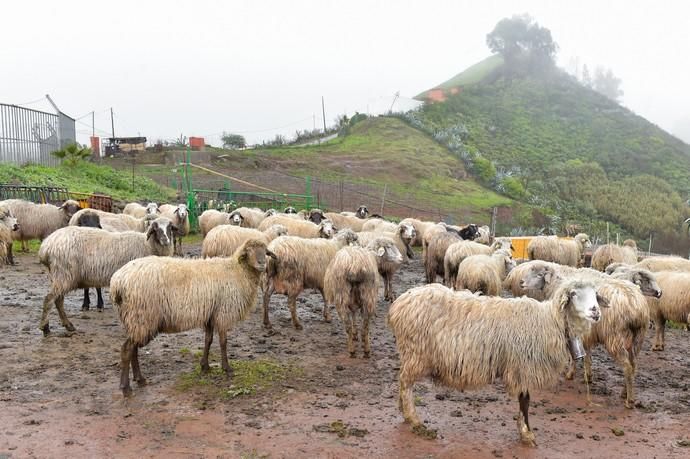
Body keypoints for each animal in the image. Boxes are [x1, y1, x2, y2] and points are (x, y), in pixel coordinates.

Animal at [37, 217, 175, 336]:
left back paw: (68, 325)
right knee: (49, 299)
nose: (165, 240)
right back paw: (45, 328)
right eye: (155, 228)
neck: (147, 245)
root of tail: (46, 246)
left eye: (170, 227)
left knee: (58, 301)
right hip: (64, 275)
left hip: (58, 276)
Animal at [110, 239, 274, 398]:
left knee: (133, 349)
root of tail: (117, 282)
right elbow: (223, 342)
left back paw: (140, 379)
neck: (238, 271)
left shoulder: (210, 314)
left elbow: (208, 340)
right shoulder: (223, 313)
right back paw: (126, 388)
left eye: (264, 251)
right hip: (142, 317)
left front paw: (205, 366)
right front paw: (226, 368)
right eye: (249, 250)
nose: (262, 263)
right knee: (127, 349)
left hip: (136, 320)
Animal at [390, 280, 604, 446]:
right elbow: (525, 400)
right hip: (415, 353)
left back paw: (403, 411)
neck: (550, 321)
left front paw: (524, 430)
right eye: (574, 294)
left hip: (411, 354)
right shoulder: (522, 365)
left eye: (595, 294)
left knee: (402, 382)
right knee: (406, 384)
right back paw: (414, 419)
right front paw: (526, 433)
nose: (596, 311)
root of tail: (399, 303)